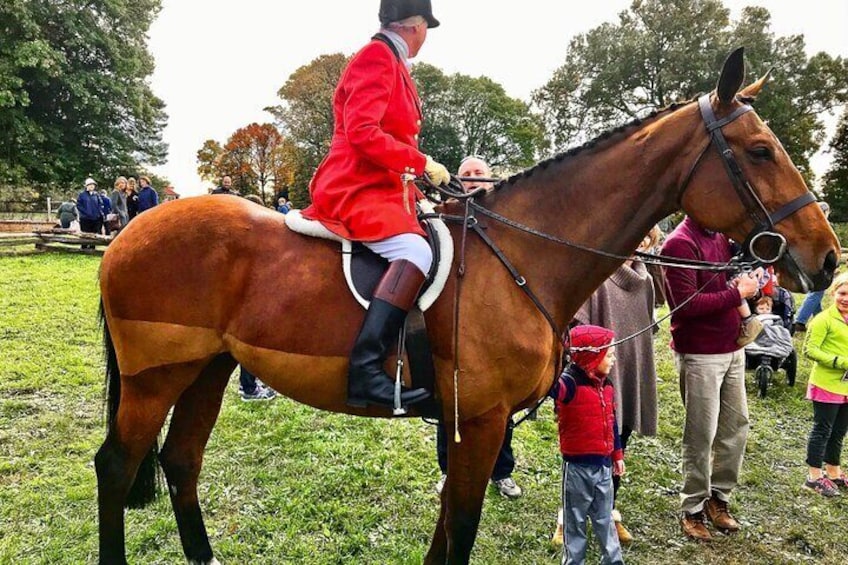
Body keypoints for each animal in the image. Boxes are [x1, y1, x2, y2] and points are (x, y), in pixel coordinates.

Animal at [96, 49, 840, 564]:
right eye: (760, 150)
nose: (828, 256)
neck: (522, 251)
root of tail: (129, 232)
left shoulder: (467, 428)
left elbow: (448, 532)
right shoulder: (479, 424)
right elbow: (461, 529)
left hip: (208, 369)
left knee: (180, 462)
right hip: (154, 377)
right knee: (116, 466)